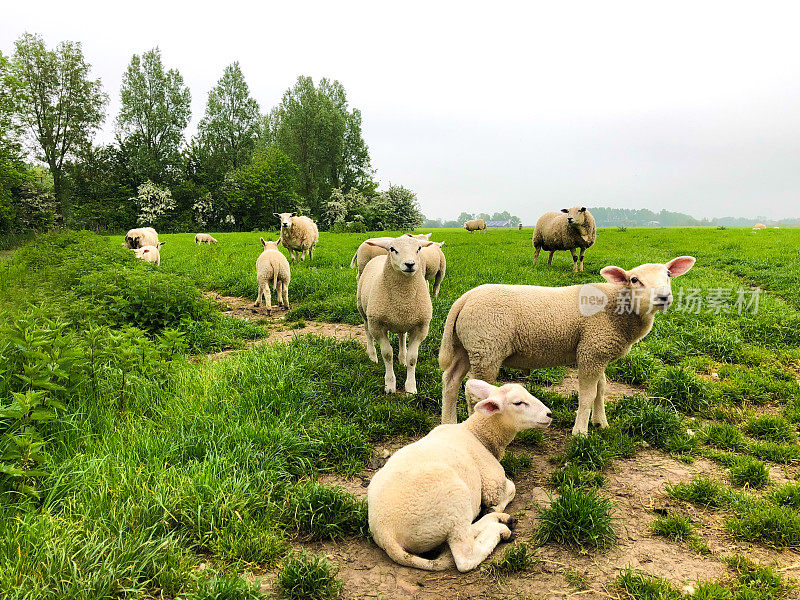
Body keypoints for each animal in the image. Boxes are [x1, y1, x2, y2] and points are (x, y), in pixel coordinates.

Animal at [356, 233, 434, 394]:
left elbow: (413, 358)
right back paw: (372, 355)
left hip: (402, 321)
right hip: (364, 311)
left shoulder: (420, 327)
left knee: (401, 335)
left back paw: (402, 358)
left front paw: (410, 387)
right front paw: (390, 384)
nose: (410, 264)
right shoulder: (378, 326)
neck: (403, 298)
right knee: (367, 331)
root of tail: (379, 256)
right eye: (393, 249)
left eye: (419, 248)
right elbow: (387, 355)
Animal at [368, 380, 552, 572]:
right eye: (518, 403)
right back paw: (499, 528)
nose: (549, 414)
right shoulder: (492, 482)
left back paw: (500, 519)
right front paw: (496, 508)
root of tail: (386, 534)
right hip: (454, 502)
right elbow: (511, 489)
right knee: (465, 556)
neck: (477, 434)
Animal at [440, 255, 696, 434]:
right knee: (473, 394)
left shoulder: (598, 351)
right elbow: (587, 395)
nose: (663, 297)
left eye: (668, 274)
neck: (618, 308)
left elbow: (601, 388)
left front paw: (601, 423)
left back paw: (448, 423)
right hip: (487, 349)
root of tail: (464, 298)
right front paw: (580, 433)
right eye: (634, 280)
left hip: (468, 347)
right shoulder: (592, 351)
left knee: (451, 381)